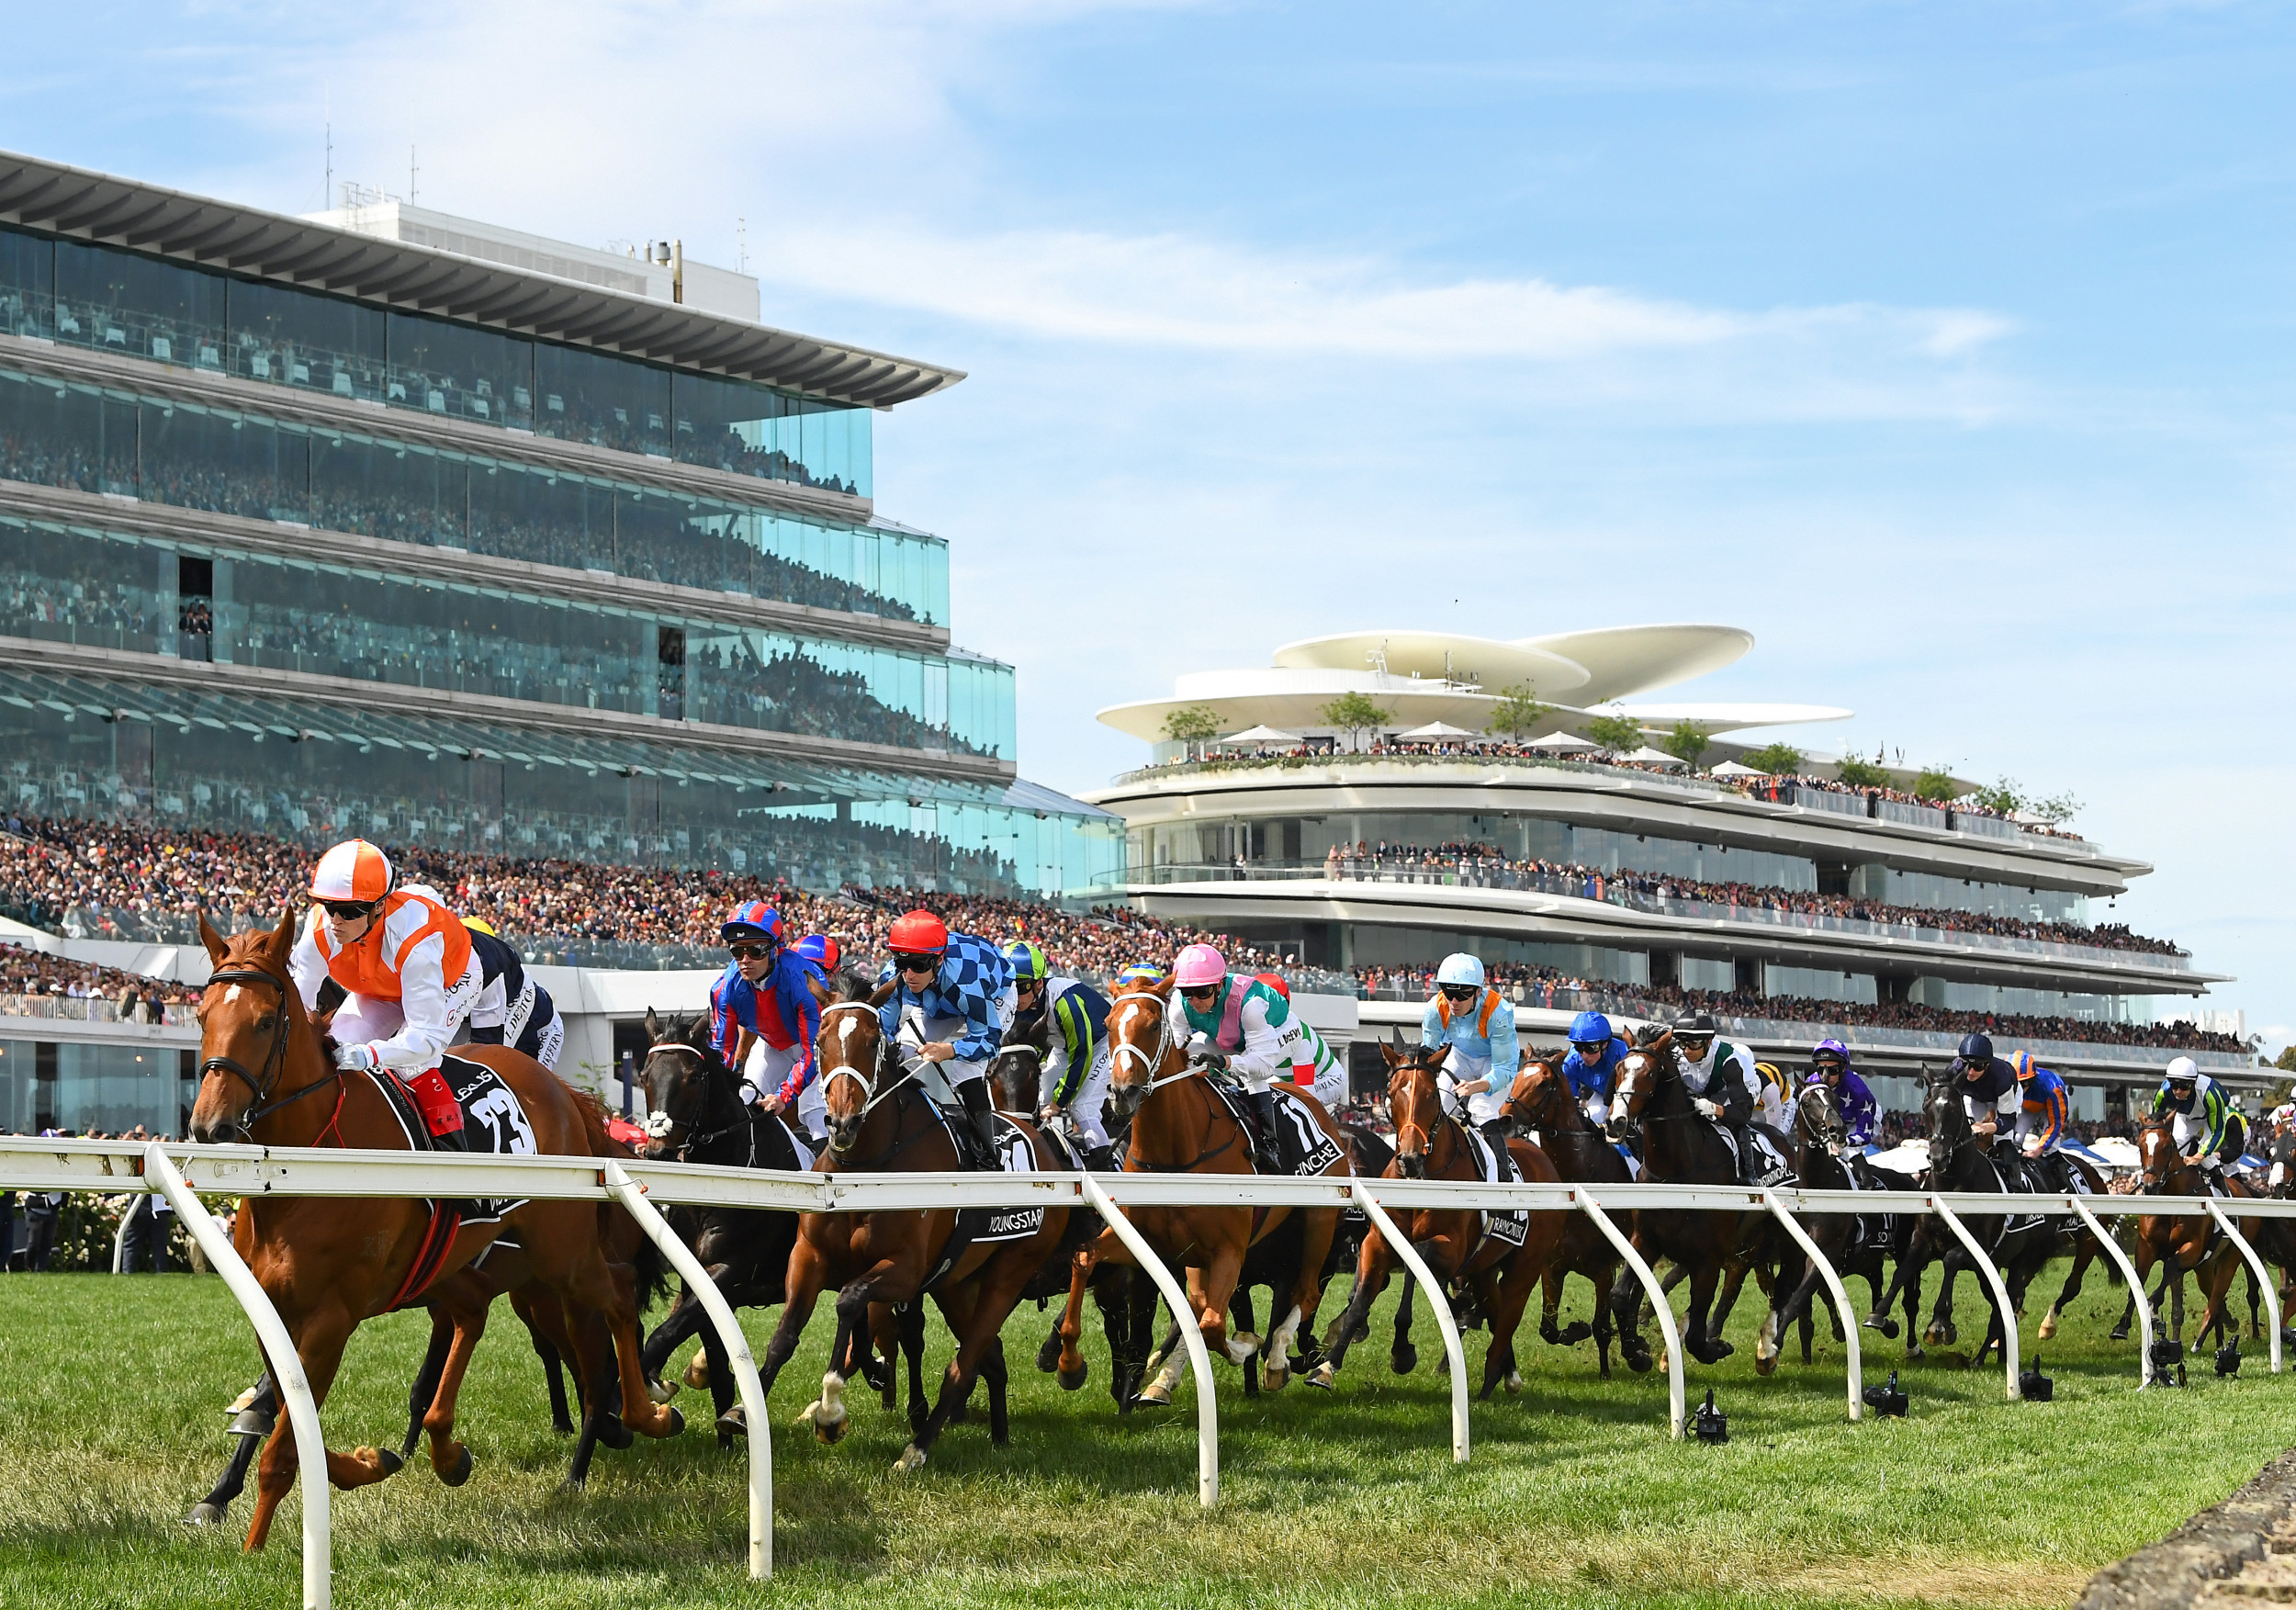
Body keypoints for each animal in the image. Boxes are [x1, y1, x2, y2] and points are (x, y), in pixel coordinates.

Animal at [189, 905, 675, 1543]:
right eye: (201, 1016)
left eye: (266, 1022)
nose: (209, 1126)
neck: (304, 1172)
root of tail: (567, 1098)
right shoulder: (278, 1308)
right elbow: (286, 1419)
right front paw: (368, 1461)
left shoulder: (332, 1316)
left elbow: (286, 1442)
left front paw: (253, 1545)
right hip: (484, 1274)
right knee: (485, 1322)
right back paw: (454, 1449)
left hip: (560, 1255)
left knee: (614, 1303)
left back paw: (641, 1417)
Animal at [1052, 974, 1350, 1396]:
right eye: (1108, 1024)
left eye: (1152, 1025)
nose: (1122, 1093)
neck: (1177, 1156)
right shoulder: (1148, 1239)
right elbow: (1084, 1257)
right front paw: (1070, 1364)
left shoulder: (1229, 1250)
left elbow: (1212, 1324)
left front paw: (1246, 1346)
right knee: (1198, 1304)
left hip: (1318, 1223)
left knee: (1304, 1293)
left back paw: (1277, 1360)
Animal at [1322, 1042, 1570, 1396]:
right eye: (1392, 1092)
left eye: (1431, 1096)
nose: (1409, 1158)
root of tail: (1545, 1161)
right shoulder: (1376, 1241)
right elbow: (1360, 1300)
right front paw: (1327, 1365)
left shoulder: (1451, 1249)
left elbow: (1418, 1260)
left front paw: (1402, 1351)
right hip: (1484, 1266)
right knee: (1494, 1307)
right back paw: (1506, 1369)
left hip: (1526, 1264)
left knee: (1509, 1312)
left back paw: (1492, 1378)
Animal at [1497, 1047, 1626, 1378]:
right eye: (1517, 1076)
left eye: (1543, 1083)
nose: (1504, 1119)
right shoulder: (1551, 1266)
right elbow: (1549, 1329)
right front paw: (1576, 1329)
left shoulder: (1604, 1270)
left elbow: (1602, 1326)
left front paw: (1607, 1371)